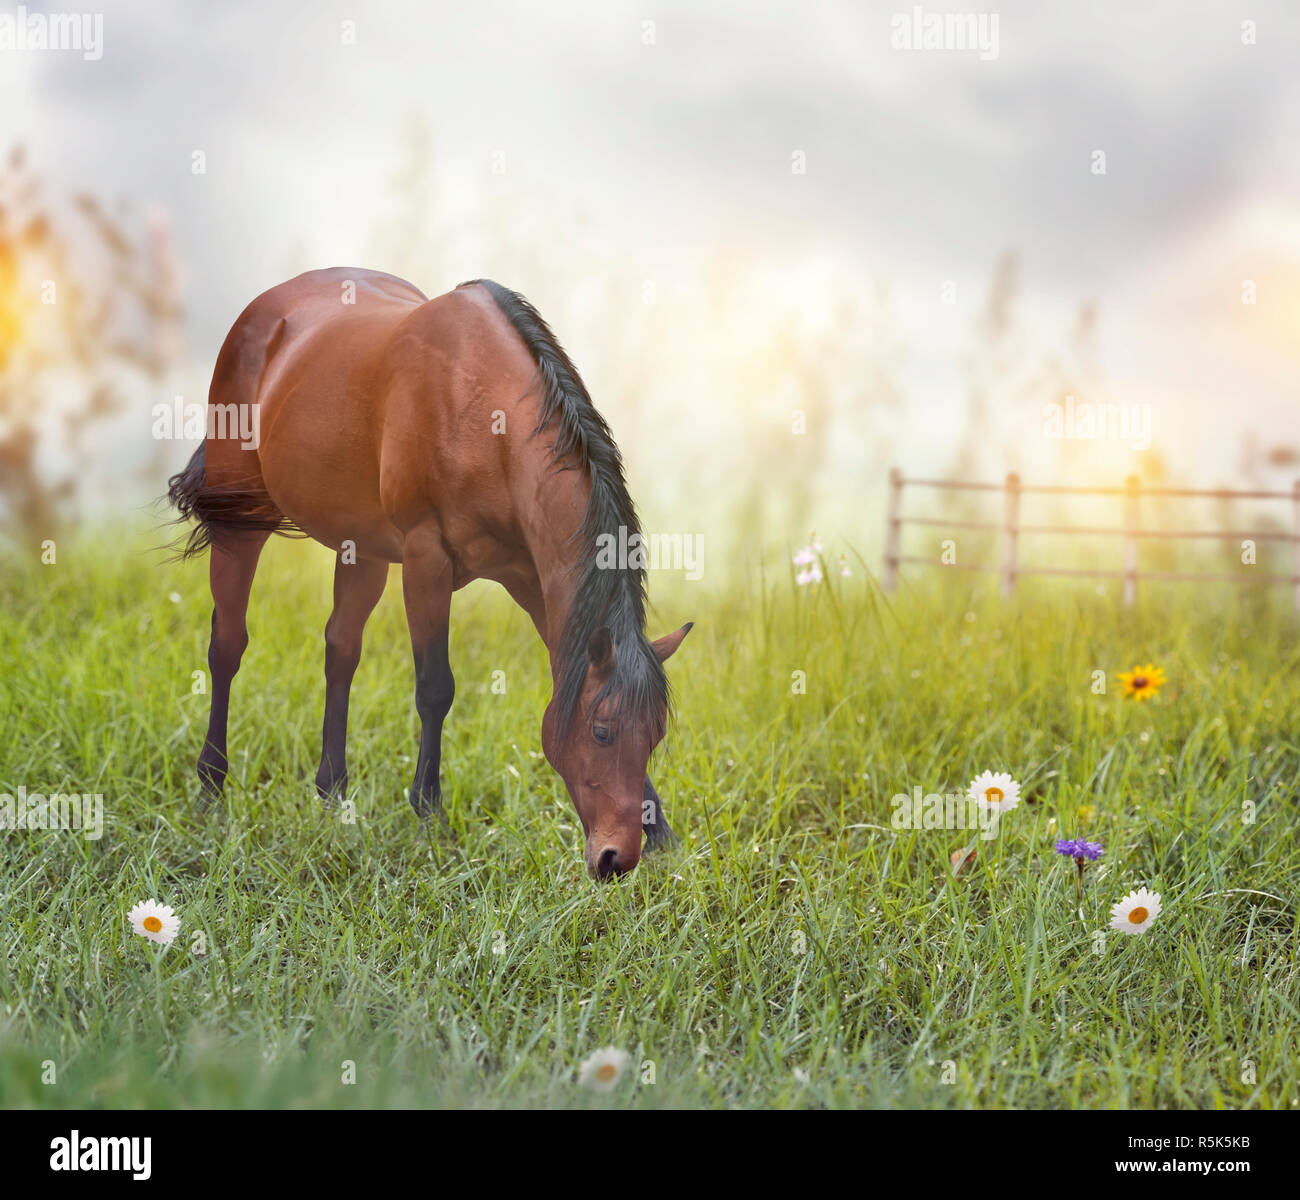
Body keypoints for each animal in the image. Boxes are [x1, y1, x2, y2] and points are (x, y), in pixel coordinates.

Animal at [167, 269, 691, 879]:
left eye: (654, 735)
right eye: (602, 732)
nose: (616, 858)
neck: (484, 416)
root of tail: (263, 308)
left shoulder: (537, 583)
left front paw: (663, 832)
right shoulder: (426, 561)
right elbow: (436, 687)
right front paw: (430, 813)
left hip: (362, 549)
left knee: (340, 651)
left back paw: (332, 795)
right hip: (241, 521)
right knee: (227, 646)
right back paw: (211, 785)